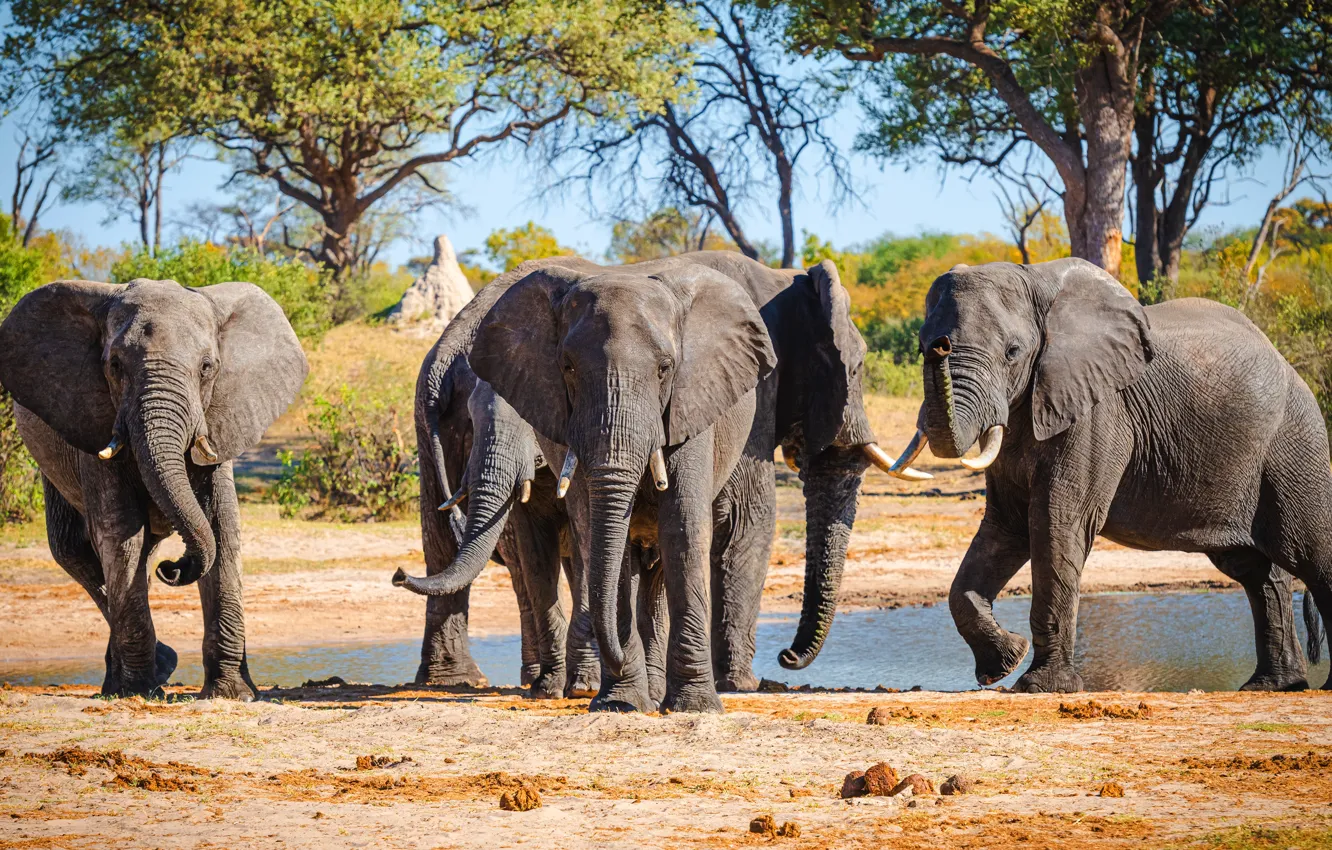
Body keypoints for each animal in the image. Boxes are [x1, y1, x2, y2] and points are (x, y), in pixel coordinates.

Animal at [0, 278, 306, 698]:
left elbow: (222, 528)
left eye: (207, 368)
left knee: (139, 556)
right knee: (74, 549)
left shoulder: (220, 420)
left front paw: (232, 694)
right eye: (114, 366)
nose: (174, 568)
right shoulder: (94, 425)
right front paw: (140, 691)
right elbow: (121, 535)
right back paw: (136, 677)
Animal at [884, 258, 1332, 692]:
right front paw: (1005, 663)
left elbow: (1056, 523)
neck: (1036, 284)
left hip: (1293, 439)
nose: (940, 345)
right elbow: (1003, 528)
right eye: (920, 345)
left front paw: (1041, 687)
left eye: (1012, 352)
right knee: (1255, 571)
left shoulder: (1098, 411)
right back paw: (1272, 686)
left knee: (1311, 553)